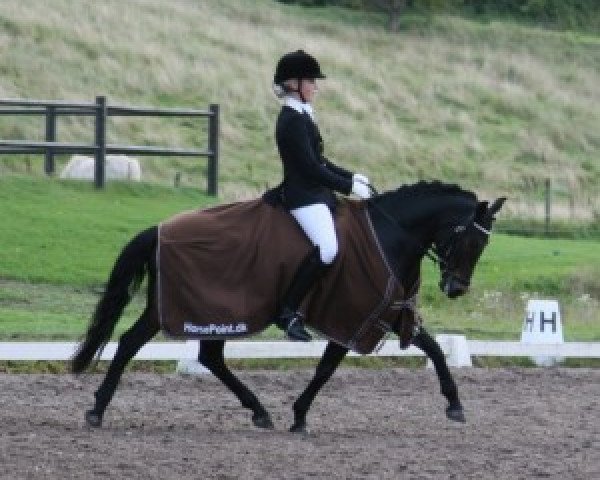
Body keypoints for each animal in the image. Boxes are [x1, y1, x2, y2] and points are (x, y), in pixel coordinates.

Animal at [71, 180, 506, 432]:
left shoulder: (387, 312)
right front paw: (299, 416)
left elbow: (435, 349)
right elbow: (326, 369)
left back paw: (258, 411)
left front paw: (455, 404)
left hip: (207, 311)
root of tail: (158, 229)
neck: (389, 233)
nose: (456, 288)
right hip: (199, 308)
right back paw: (97, 410)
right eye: (471, 240)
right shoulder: (355, 313)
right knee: (136, 344)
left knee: (200, 354)